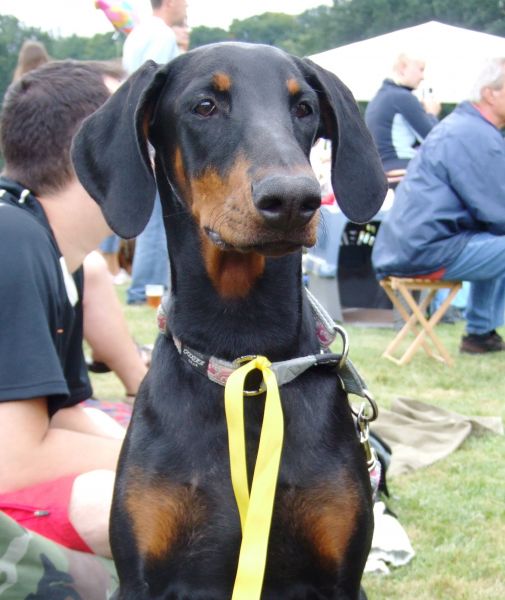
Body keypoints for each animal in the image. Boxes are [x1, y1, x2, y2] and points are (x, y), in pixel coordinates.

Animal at [72, 42, 387, 600]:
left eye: (303, 108)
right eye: (204, 106)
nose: (294, 198)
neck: (243, 353)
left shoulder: (341, 578)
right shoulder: (139, 577)